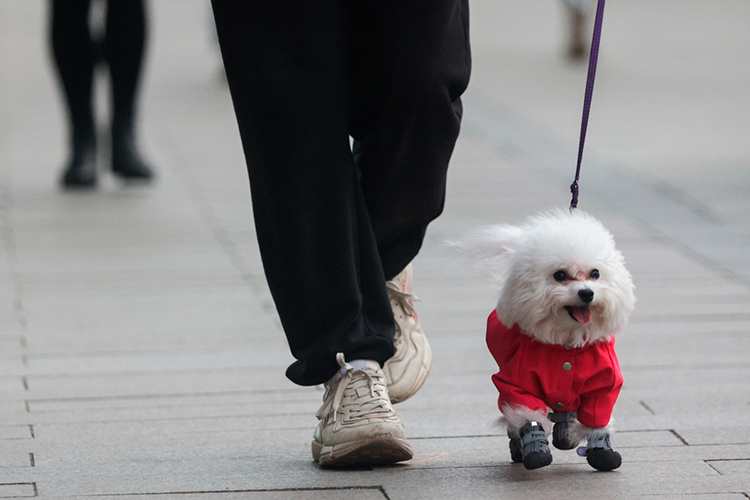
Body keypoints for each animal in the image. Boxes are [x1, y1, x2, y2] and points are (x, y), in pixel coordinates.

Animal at [458, 209, 636, 470]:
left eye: (595, 273)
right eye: (560, 275)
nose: (587, 293)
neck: (566, 342)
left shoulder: (604, 382)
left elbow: (596, 417)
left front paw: (601, 449)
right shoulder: (517, 383)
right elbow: (528, 416)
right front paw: (535, 447)